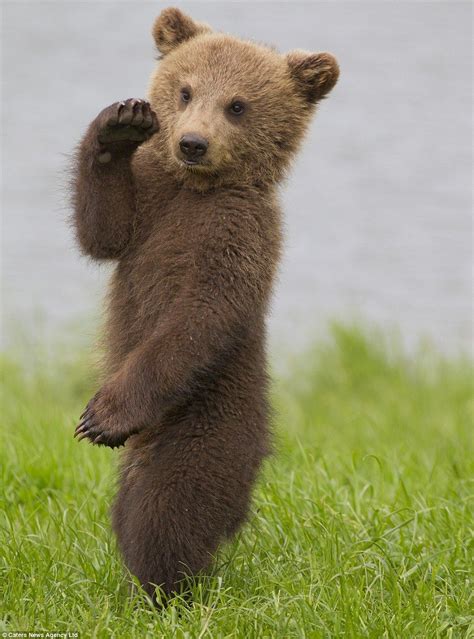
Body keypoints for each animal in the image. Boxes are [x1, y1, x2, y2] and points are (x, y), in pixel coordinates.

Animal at [71, 7, 336, 604]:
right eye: (186, 90)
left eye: (237, 105)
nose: (192, 143)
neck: (195, 189)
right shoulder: (150, 207)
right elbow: (103, 231)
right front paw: (119, 125)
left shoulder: (236, 237)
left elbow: (198, 317)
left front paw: (100, 416)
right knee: (133, 507)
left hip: (208, 425)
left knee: (168, 507)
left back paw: (165, 590)